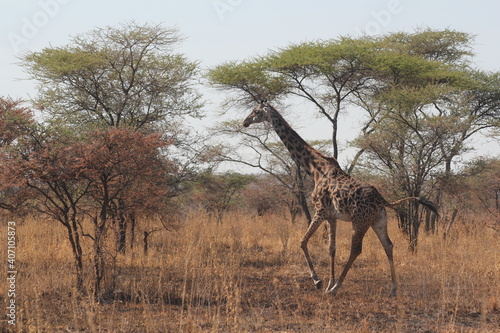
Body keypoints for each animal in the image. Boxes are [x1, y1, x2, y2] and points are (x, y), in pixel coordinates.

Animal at [242, 100, 438, 294]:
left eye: (256, 111)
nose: (245, 121)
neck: (314, 168)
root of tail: (382, 199)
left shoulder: (320, 210)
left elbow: (302, 241)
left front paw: (319, 282)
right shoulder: (331, 216)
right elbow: (331, 249)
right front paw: (328, 282)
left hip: (359, 221)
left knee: (356, 249)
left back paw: (337, 288)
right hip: (379, 221)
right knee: (388, 245)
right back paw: (393, 289)